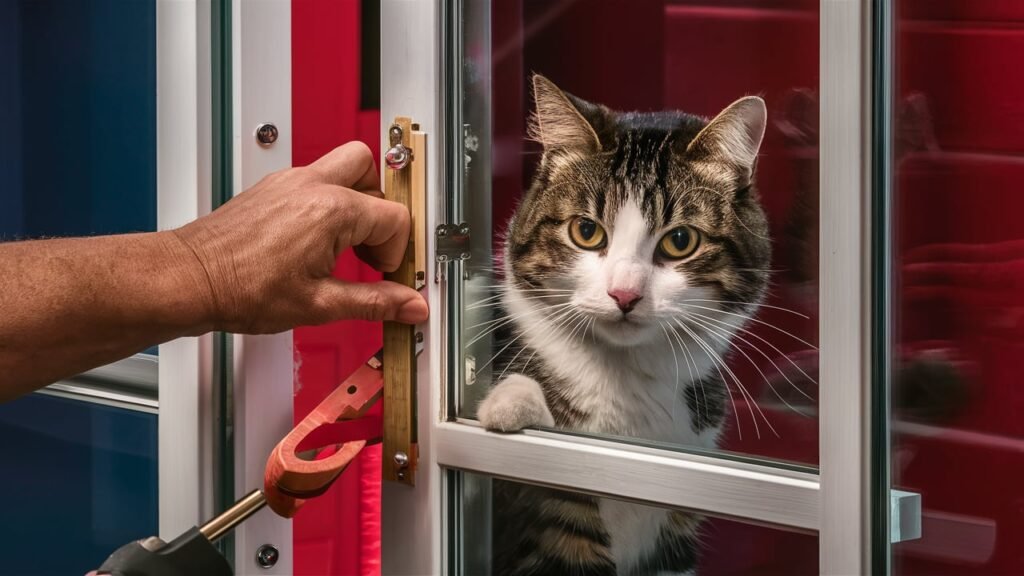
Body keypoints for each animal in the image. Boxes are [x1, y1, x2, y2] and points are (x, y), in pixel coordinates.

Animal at [475, 72, 770, 573]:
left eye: (680, 240)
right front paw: (511, 402)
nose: (625, 294)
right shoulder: (554, 529)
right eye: (586, 231)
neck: (629, 376)